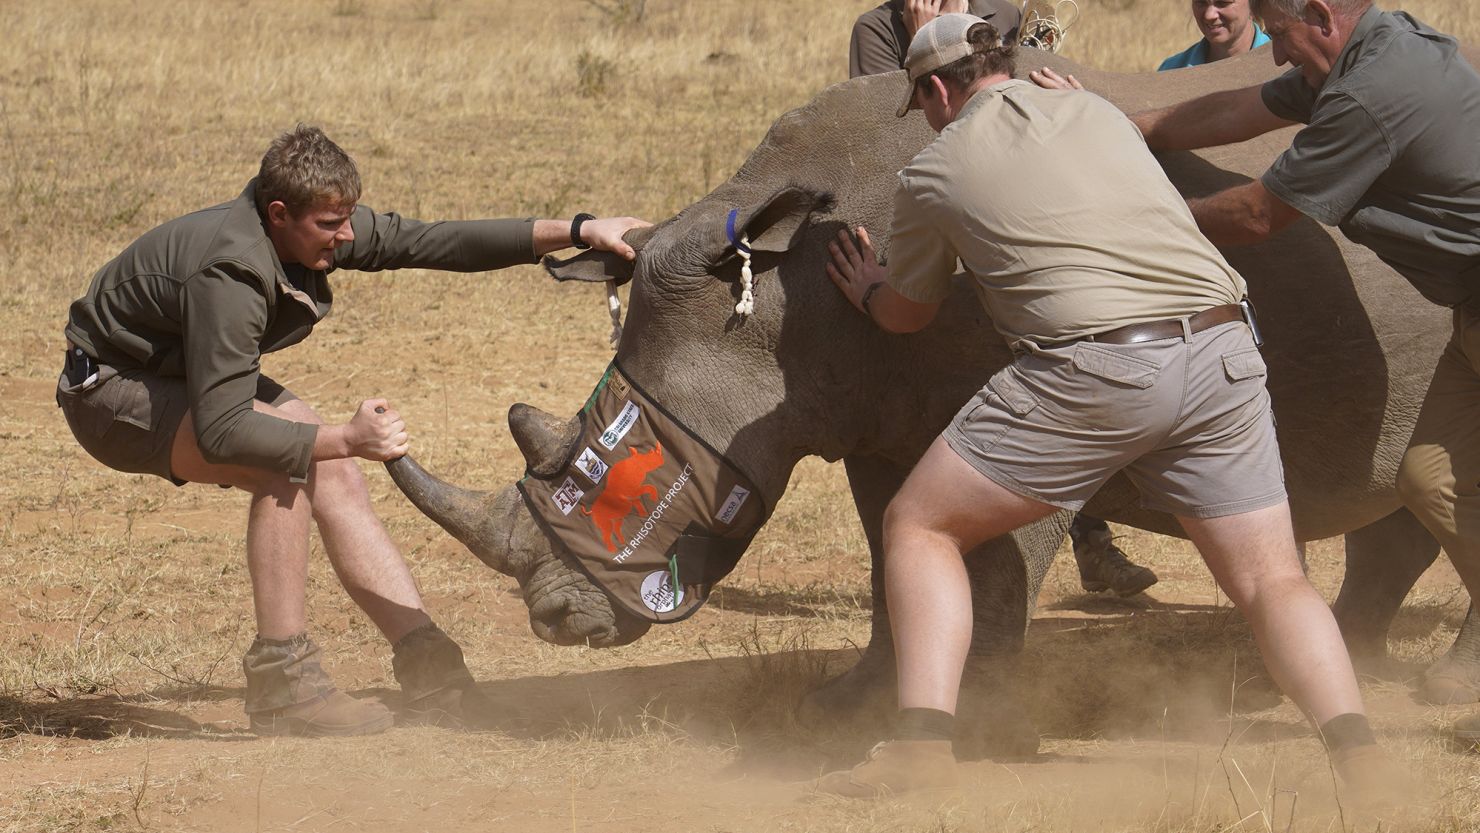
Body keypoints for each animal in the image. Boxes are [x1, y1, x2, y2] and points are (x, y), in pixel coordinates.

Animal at [384, 47, 1480, 757]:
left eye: (607, 471)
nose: (554, 624)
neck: (774, 298)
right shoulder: (874, 412)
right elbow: (888, 552)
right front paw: (846, 705)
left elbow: (993, 561)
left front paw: (978, 721)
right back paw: (1334, 660)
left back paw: (1434, 683)